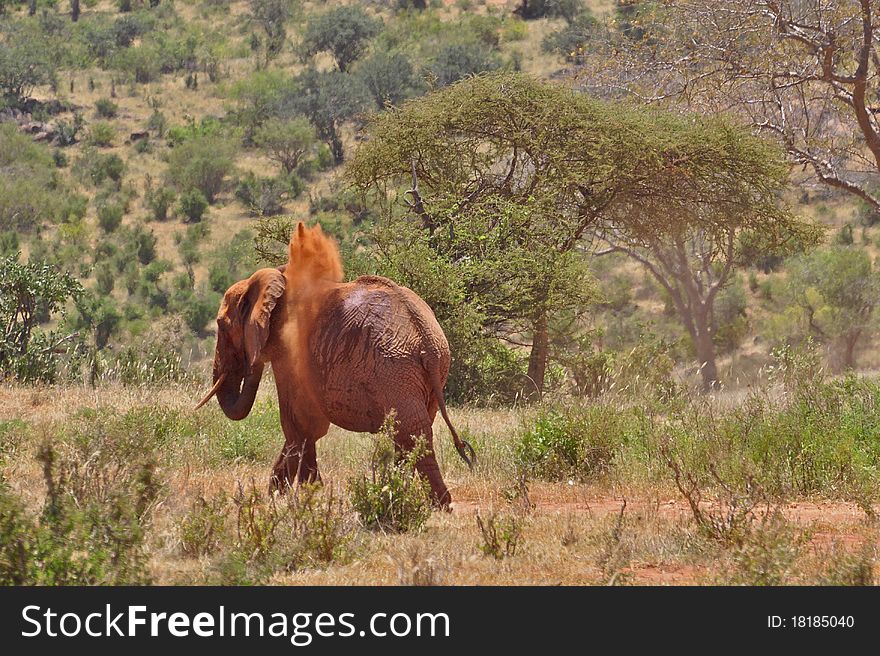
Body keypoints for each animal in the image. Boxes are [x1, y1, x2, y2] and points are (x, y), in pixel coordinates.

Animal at [194, 223, 474, 504]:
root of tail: (425, 335)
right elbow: (306, 427)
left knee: (412, 432)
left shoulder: (289, 352)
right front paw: (288, 494)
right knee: (411, 433)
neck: (277, 280)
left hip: (396, 371)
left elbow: (297, 424)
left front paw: (302, 496)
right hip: (431, 370)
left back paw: (436, 504)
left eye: (221, 325)